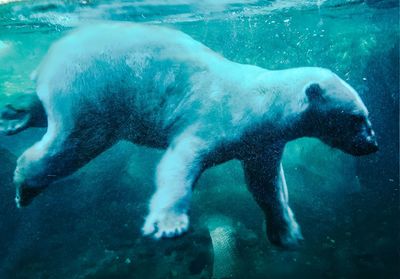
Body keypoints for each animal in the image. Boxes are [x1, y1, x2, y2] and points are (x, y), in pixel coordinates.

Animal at [7, 22, 378, 249]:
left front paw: (287, 233)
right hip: (94, 92)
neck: (263, 100)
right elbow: (180, 163)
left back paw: (17, 114)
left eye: (366, 116)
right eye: (357, 118)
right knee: (71, 145)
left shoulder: (261, 142)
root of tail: (49, 59)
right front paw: (168, 224)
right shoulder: (217, 117)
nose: (373, 145)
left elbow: (266, 185)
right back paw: (25, 184)